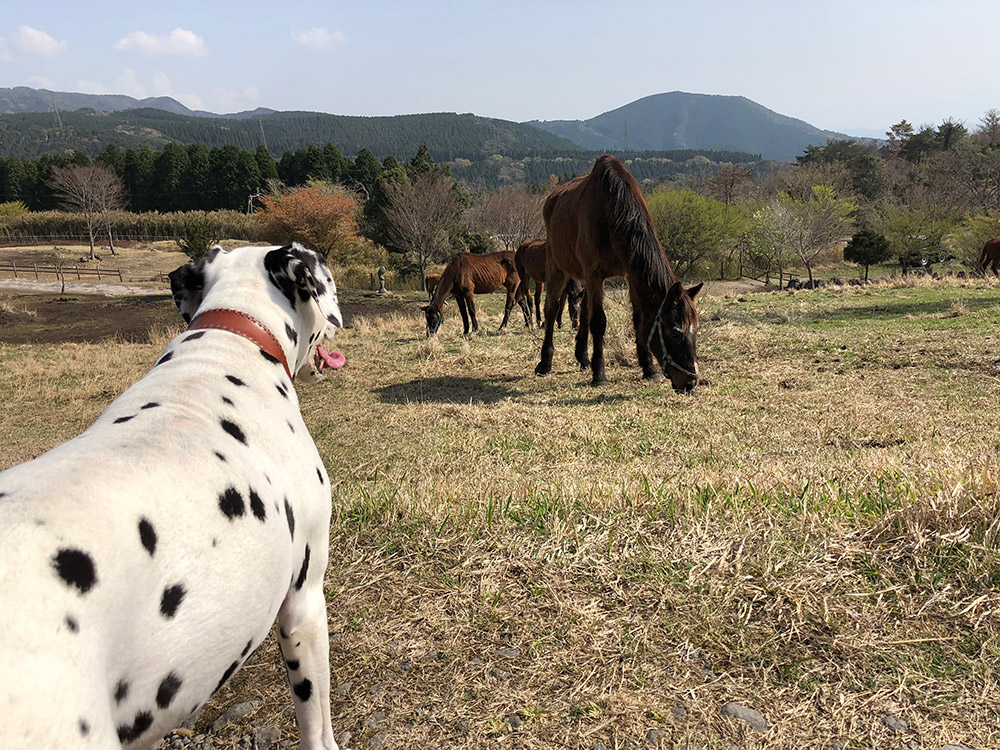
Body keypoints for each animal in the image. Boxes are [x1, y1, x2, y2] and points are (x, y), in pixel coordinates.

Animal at [540, 154, 704, 394]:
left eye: (695, 330)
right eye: (675, 332)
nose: (690, 382)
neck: (611, 212)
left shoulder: (630, 275)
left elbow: (637, 320)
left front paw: (649, 369)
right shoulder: (594, 274)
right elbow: (598, 322)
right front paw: (599, 375)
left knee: (584, 309)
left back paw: (583, 358)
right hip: (557, 269)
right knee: (551, 310)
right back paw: (544, 362)